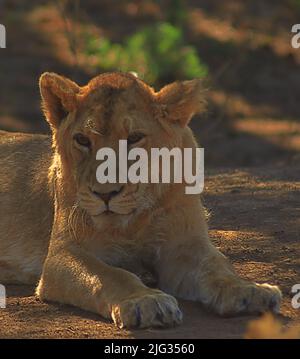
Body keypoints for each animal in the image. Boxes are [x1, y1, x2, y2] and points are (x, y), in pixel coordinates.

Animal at [0, 72, 282, 330]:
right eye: (82, 140)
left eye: (134, 138)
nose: (105, 194)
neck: (134, 221)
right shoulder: (63, 253)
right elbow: (110, 275)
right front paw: (145, 302)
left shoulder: (183, 245)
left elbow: (217, 267)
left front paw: (249, 291)